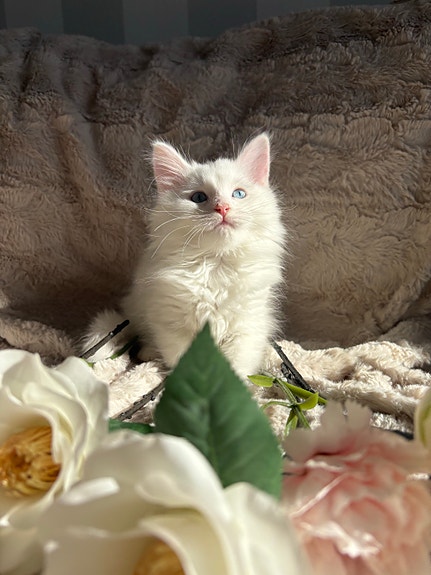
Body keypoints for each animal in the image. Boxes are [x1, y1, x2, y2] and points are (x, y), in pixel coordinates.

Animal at [83, 133, 286, 377]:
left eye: (239, 194)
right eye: (199, 197)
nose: (223, 208)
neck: (215, 264)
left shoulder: (248, 324)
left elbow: (236, 364)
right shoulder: (172, 322)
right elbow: (183, 360)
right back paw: (148, 352)